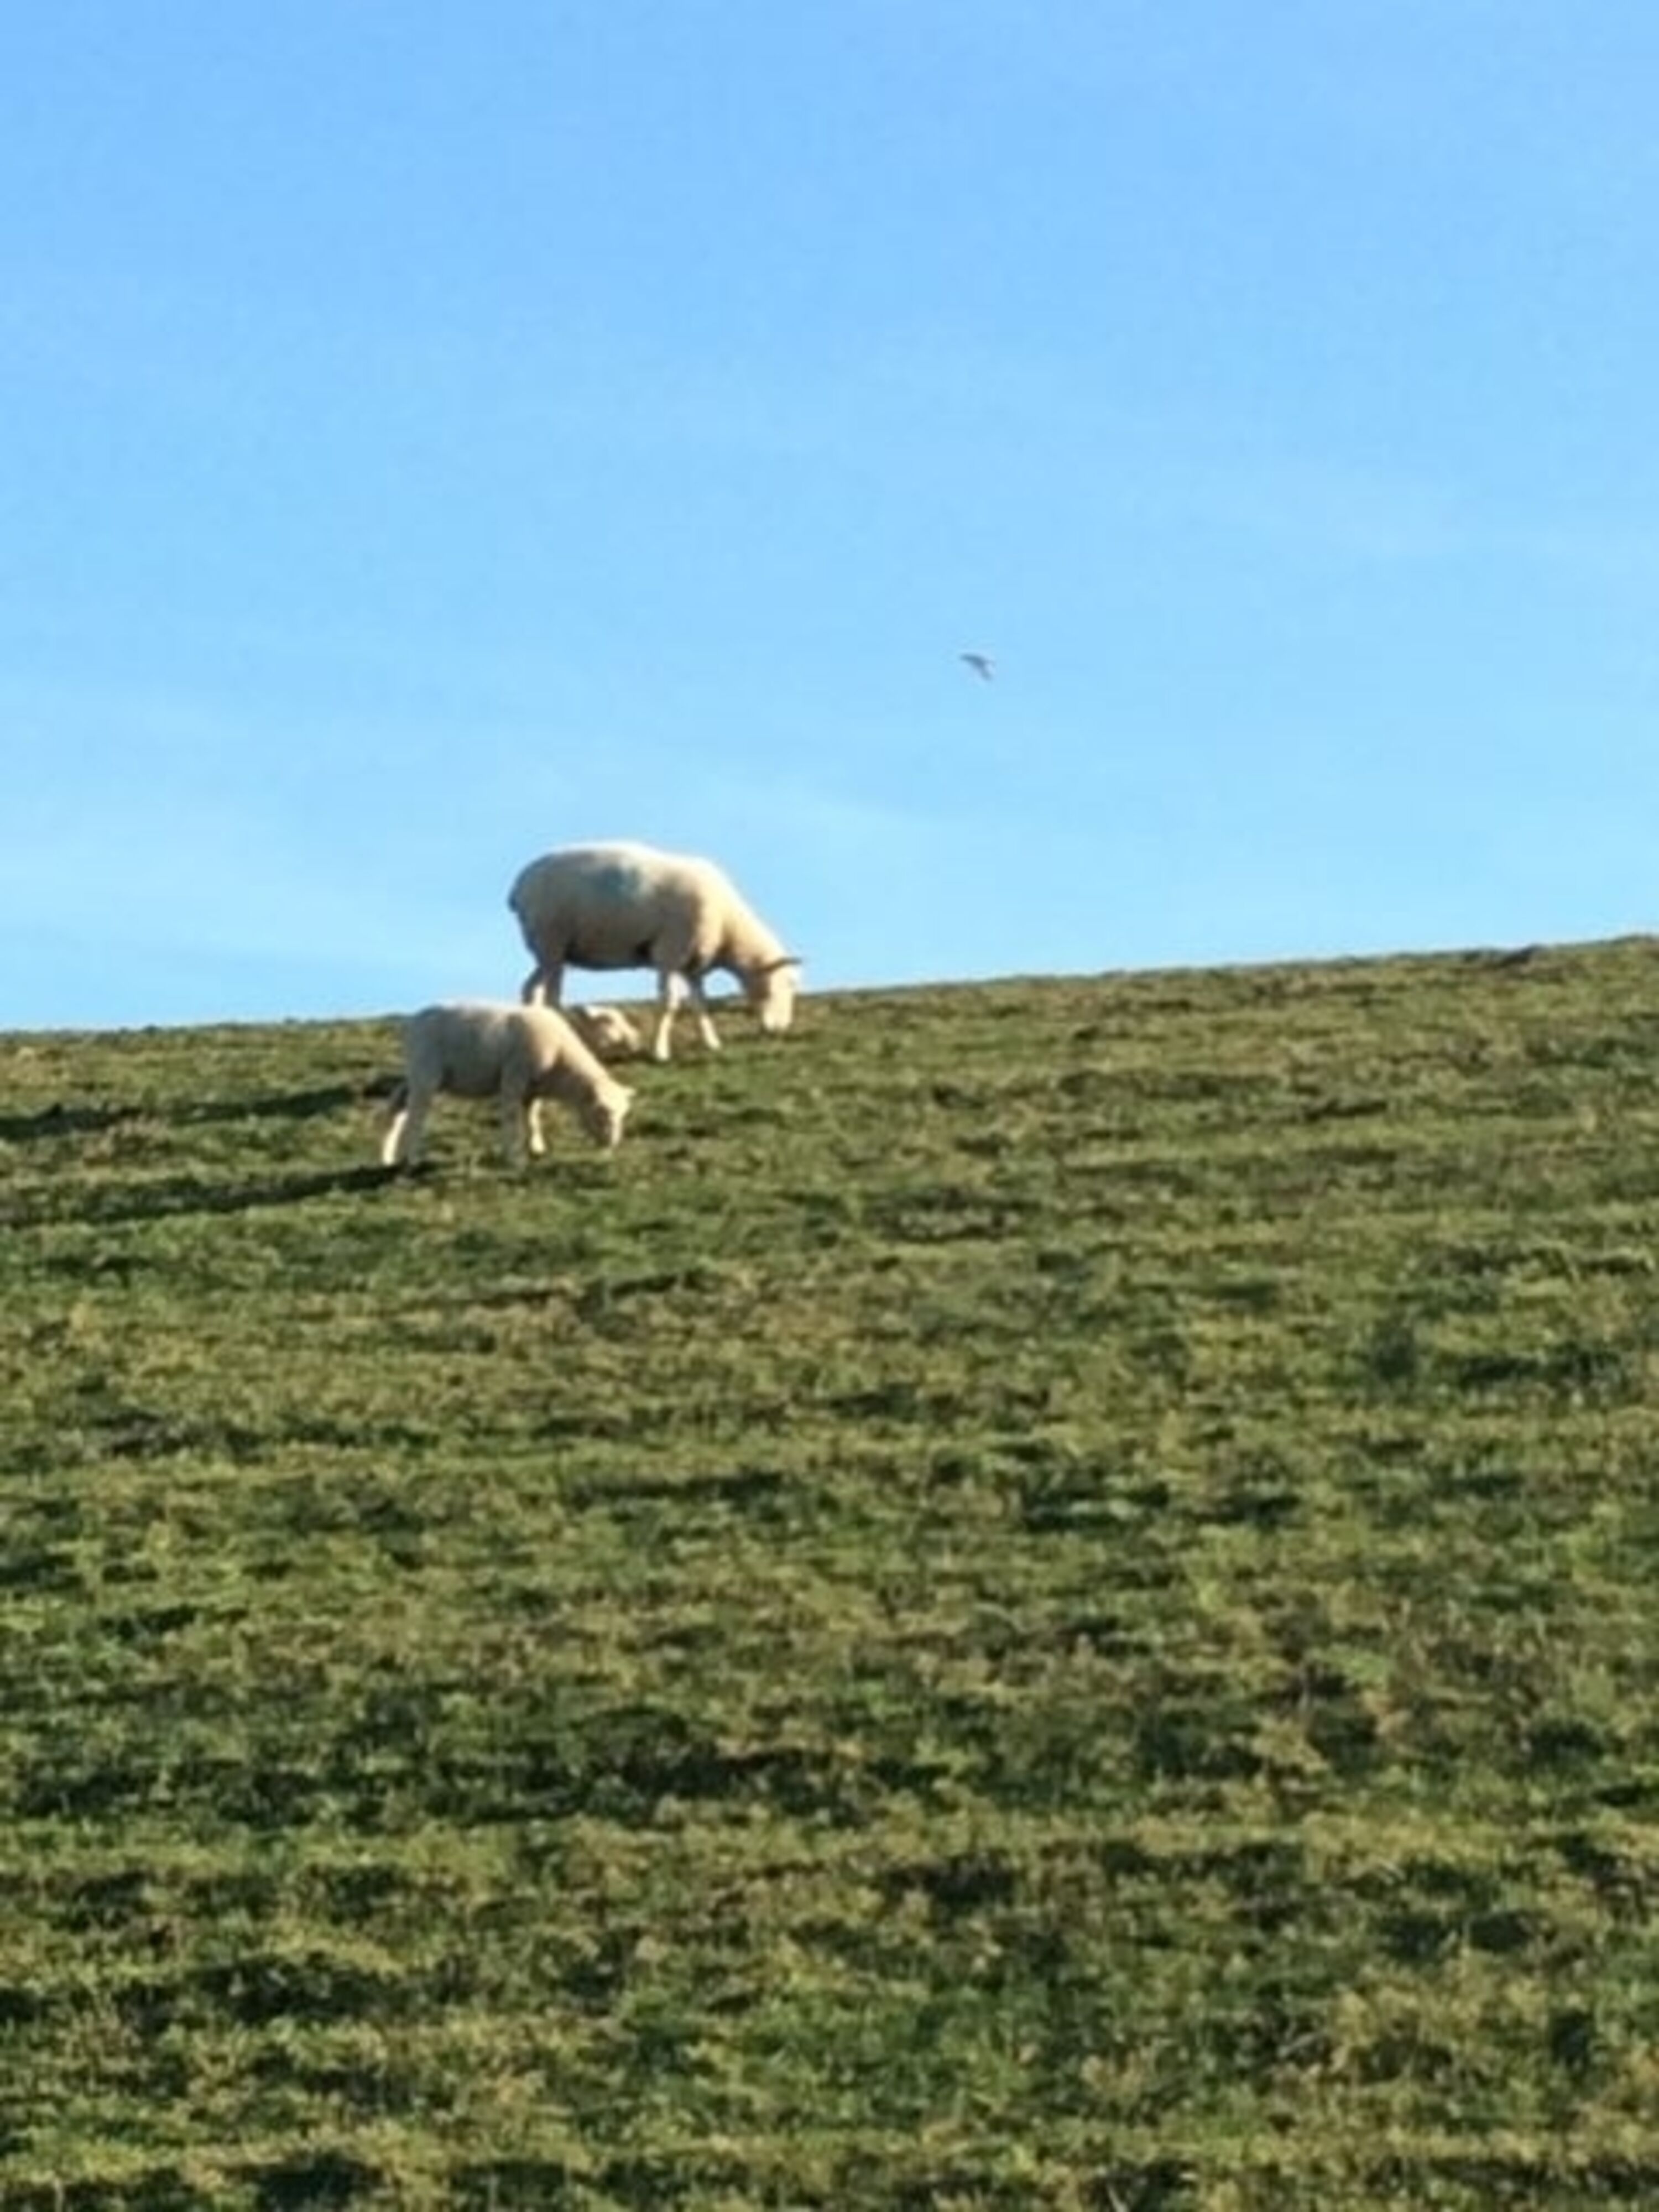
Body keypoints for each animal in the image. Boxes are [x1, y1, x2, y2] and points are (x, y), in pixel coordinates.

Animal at [380, 1001, 635, 1168]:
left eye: (624, 1115)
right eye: (602, 1112)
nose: (612, 1144)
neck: (561, 1062)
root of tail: (413, 1023)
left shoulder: (533, 1088)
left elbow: (533, 1117)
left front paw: (536, 1147)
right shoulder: (515, 1077)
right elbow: (512, 1117)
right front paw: (513, 1157)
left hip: (416, 1074)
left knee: (397, 1109)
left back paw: (388, 1157)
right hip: (426, 1073)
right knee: (417, 1114)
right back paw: (413, 1158)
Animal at [507, 840, 802, 1062]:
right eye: (785, 984)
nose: (781, 1029)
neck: (729, 929)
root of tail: (519, 885)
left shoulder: (692, 966)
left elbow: (700, 1005)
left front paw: (711, 1042)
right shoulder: (670, 954)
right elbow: (669, 1003)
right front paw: (660, 1052)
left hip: (550, 950)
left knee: (530, 988)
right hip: (552, 940)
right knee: (553, 999)